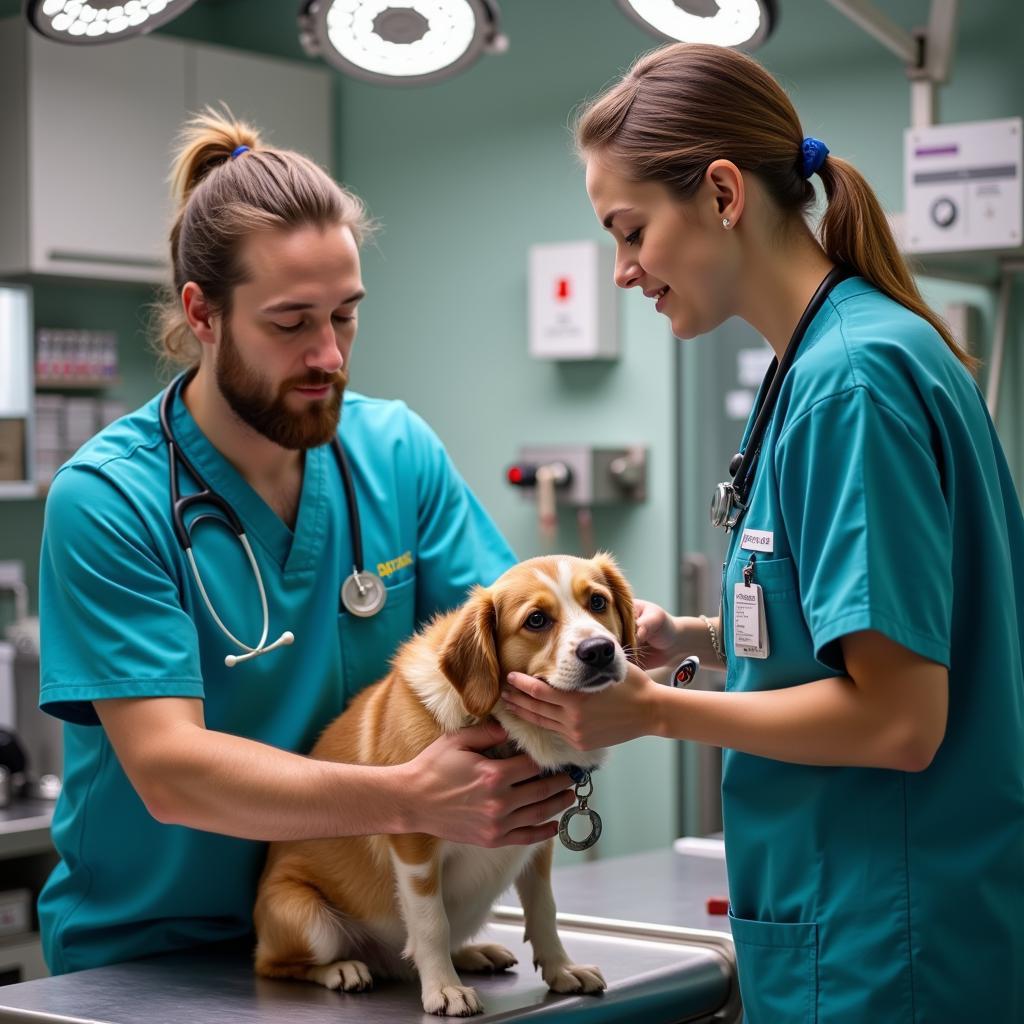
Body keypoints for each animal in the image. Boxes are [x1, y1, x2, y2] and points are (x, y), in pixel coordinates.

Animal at [251, 557, 634, 1019]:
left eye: (597, 601)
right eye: (536, 620)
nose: (599, 650)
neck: (507, 729)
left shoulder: (539, 844)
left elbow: (544, 911)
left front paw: (561, 969)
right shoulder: (415, 847)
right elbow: (432, 923)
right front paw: (444, 990)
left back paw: (473, 953)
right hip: (309, 922)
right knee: (275, 964)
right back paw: (342, 969)